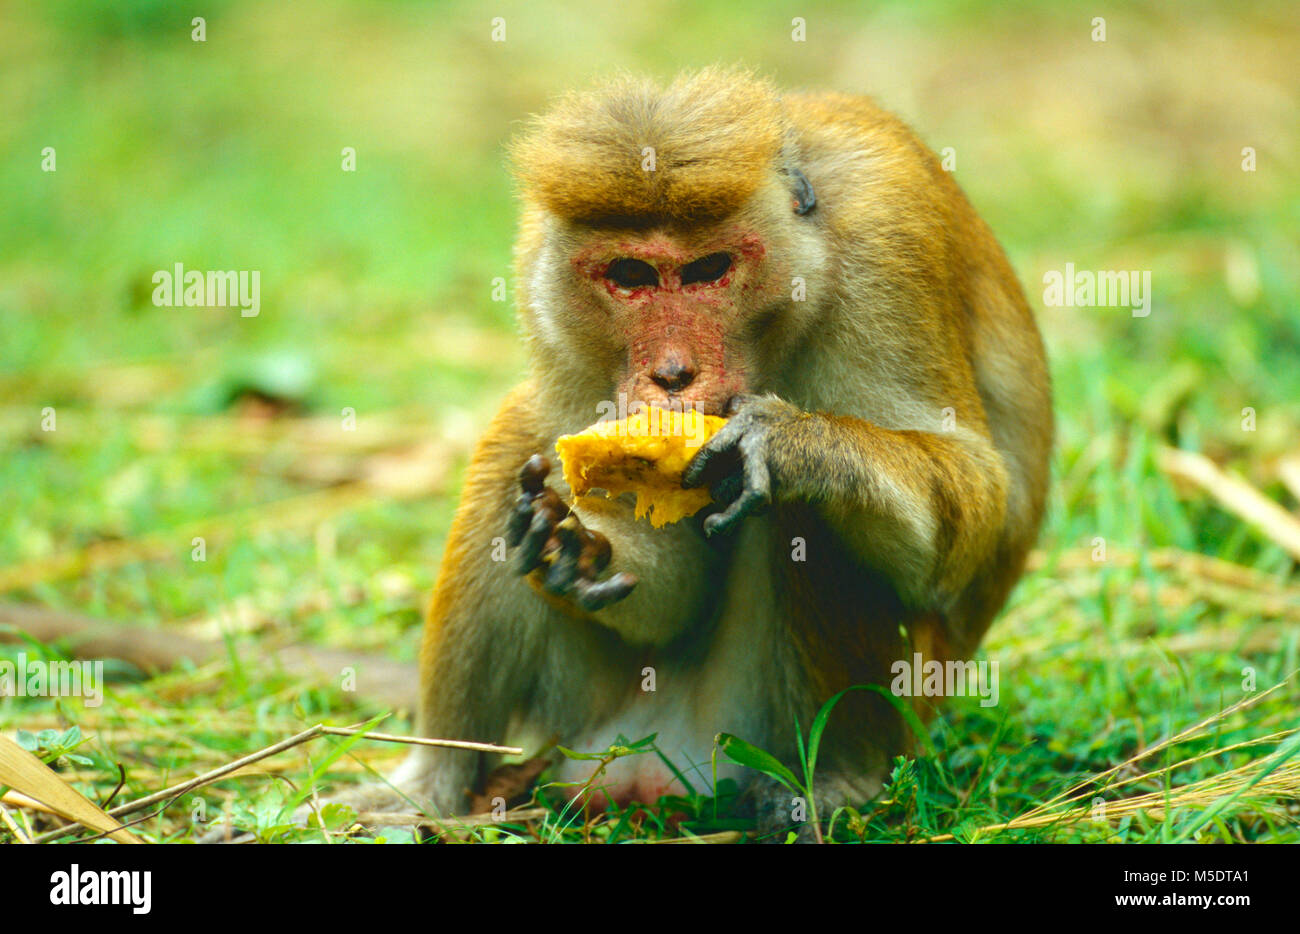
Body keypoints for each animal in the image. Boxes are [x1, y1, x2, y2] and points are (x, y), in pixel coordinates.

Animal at [343, 67, 1052, 838]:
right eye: (630, 275)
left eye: (710, 270)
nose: (673, 374)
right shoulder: (546, 295)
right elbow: (659, 587)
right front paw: (580, 548)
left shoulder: (887, 248)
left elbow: (976, 503)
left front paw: (795, 445)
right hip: (588, 715)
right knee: (517, 437)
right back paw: (431, 785)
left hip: (771, 722)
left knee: (813, 516)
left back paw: (839, 777)